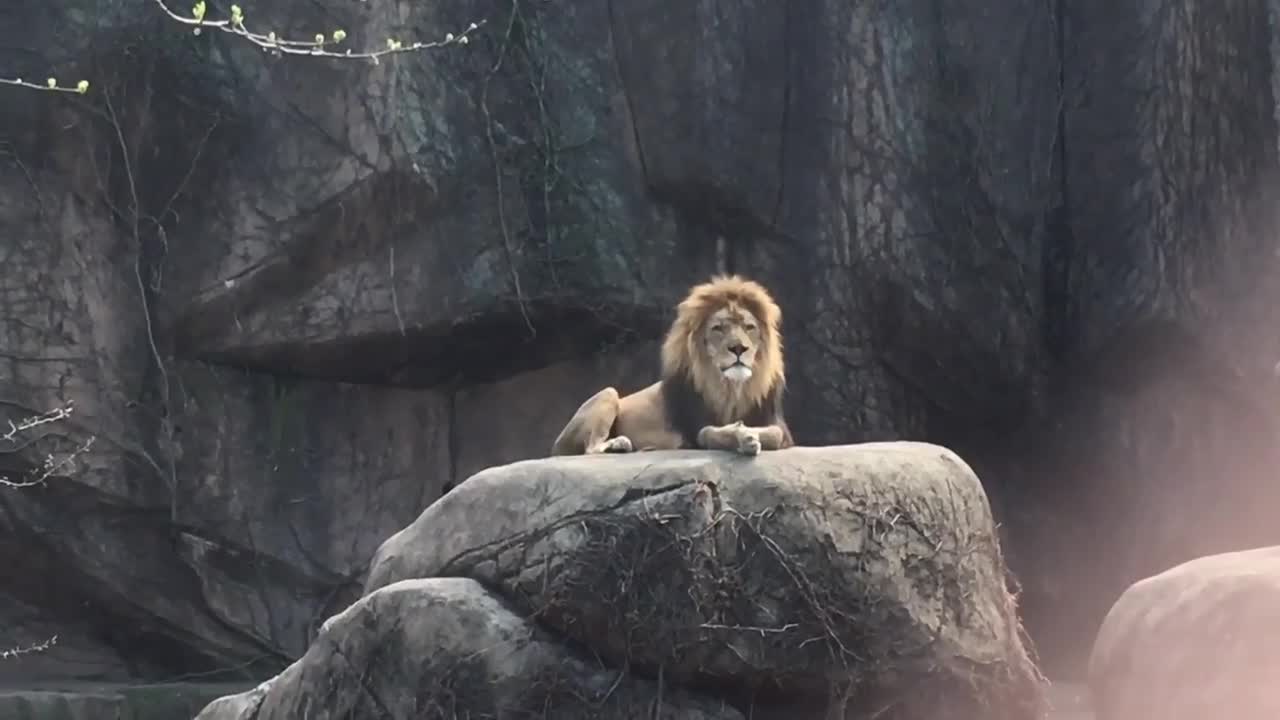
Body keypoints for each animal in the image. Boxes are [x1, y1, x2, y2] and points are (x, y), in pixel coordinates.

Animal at [547, 272, 793, 453]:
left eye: (749, 327)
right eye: (718, 328)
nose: (739, 349)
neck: (730, 389)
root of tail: (555, 446)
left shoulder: (776, 423)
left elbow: (775, 433)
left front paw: (750, 434)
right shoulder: (691, 431)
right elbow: (707, 433)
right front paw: (740, 435)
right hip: (608, 393)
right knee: (591, 448)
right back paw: (618, 444)